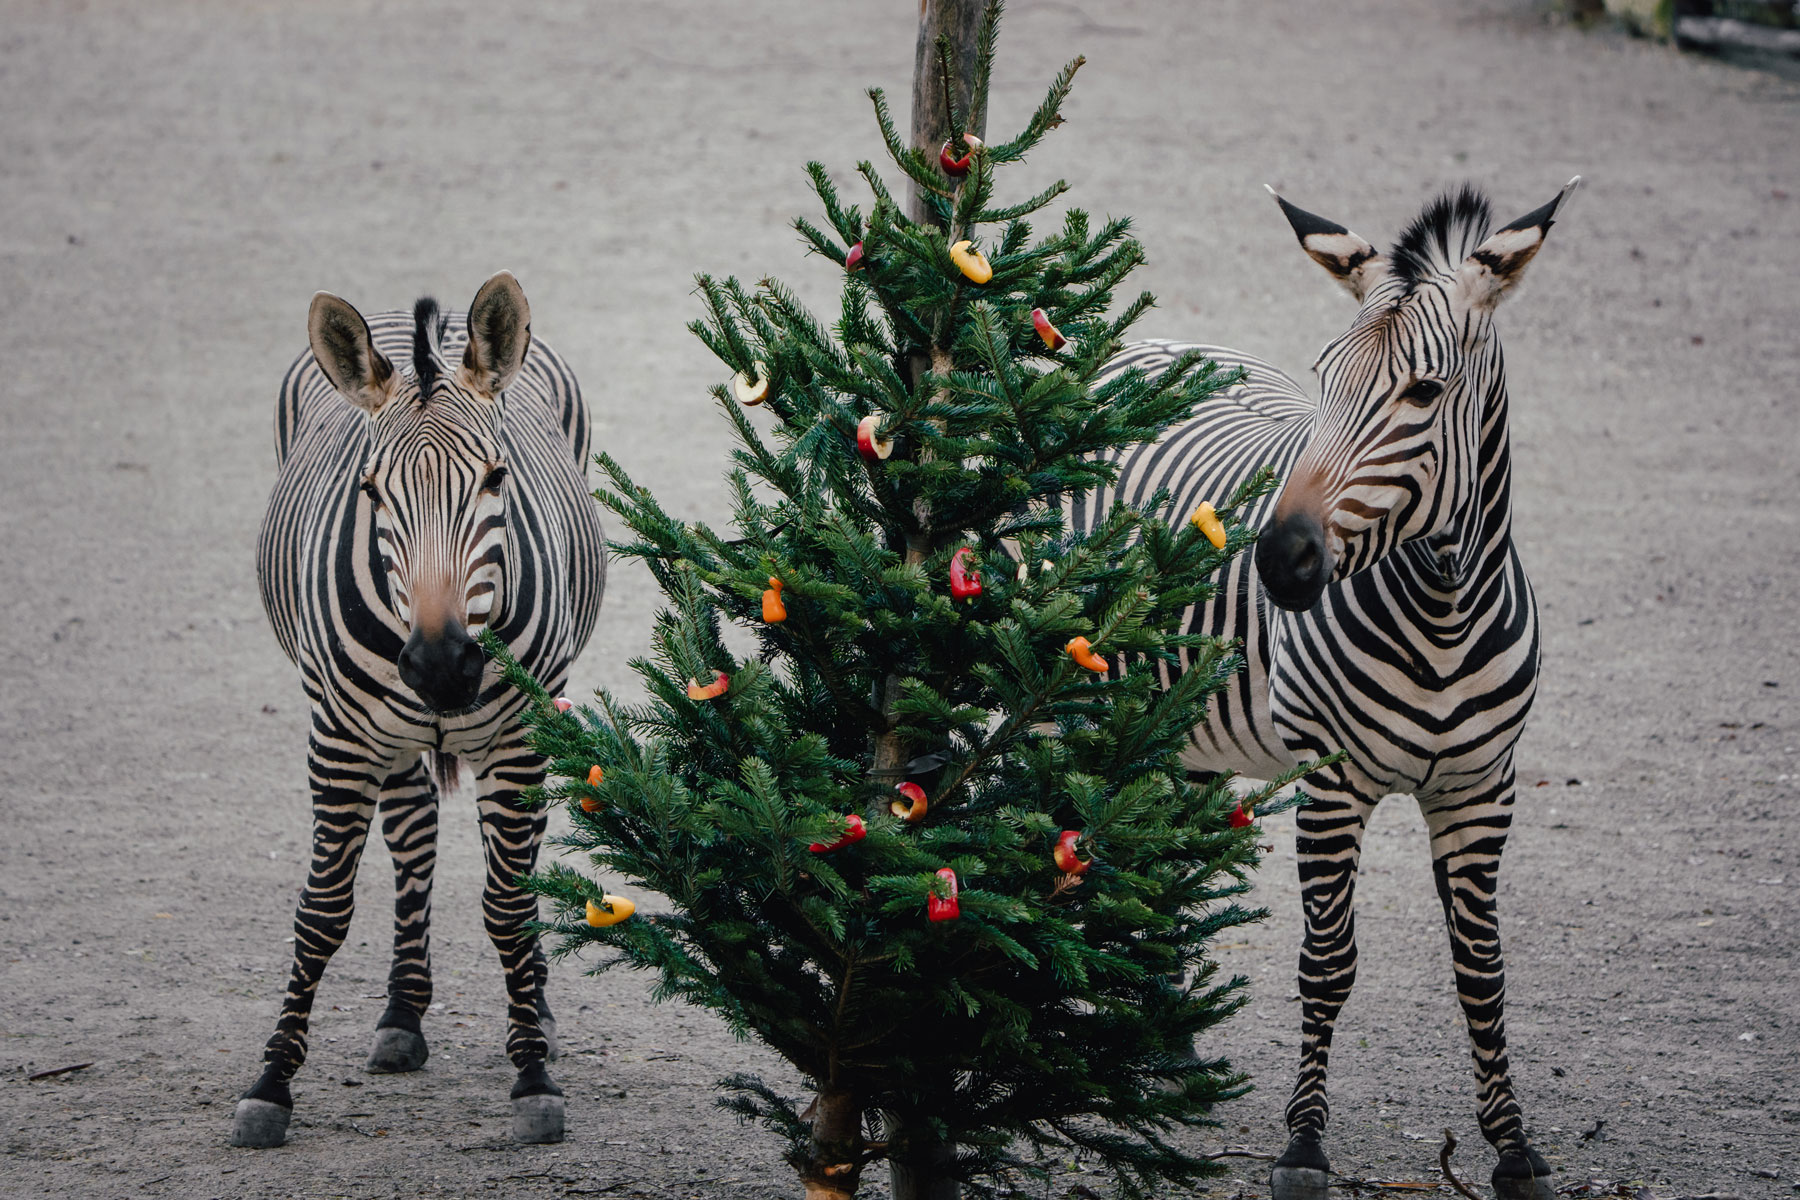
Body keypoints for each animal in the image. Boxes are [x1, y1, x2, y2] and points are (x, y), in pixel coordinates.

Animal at [234, 275, 604, 1151]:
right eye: (370, 491)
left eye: (497, 479)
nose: (441, 666)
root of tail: (413, 316)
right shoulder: (336, 739)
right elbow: (322, 912)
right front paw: (271, 1082)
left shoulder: (518, 739)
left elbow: (507, 904)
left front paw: (533, 1074)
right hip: (382, 733)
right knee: (413, 836)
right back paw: (402, 1011)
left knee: (512, 860)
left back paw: (533, 1005)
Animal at [1072, 178, 1584, 1200]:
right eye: (1323, 380)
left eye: (1424, 392)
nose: (1278, 560)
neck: (1443, 612)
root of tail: (1147, 343)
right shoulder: (1332, 784)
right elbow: (1328, 963)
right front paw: (1304, 1146)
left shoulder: (1483, 789)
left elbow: (1482, 971)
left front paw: (1513, 1149)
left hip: (1183, 722)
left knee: (1160, 851)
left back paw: (1170, 1045)